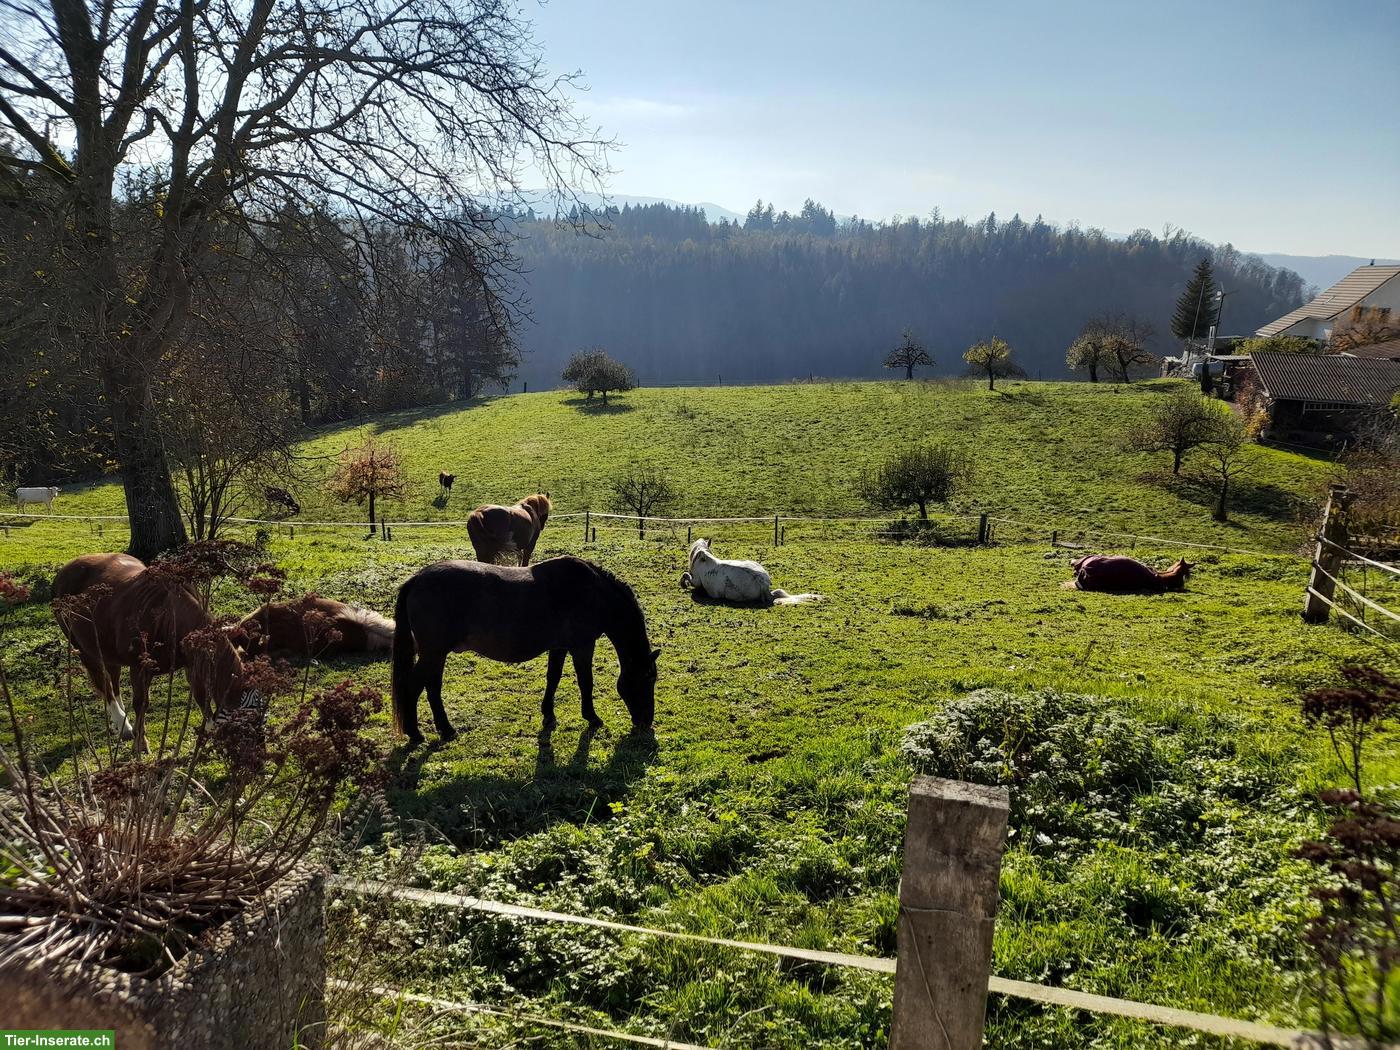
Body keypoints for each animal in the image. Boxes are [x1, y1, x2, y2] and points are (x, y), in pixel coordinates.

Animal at [51, 553, 253, 752]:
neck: (168, 617)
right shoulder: (140, 667)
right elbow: (141, 703)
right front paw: (140, 743)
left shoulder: (193, 664)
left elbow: (202, 698)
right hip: (85, 651)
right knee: (105, 686)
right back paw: (124, 726)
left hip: (108, 652)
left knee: (114, 683)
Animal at [390, 555, 659, 745]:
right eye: (647, 678)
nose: (646, 722)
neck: (592, 594)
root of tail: (417, 579)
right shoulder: (582, 646)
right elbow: (586, 682)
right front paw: (592, 717)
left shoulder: (560, 647)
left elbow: (553, 678)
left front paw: (548, 715)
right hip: (433, 653)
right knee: (414, 687)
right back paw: (416, 733)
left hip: (436, 654)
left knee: (432, 688)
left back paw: (445, 730)